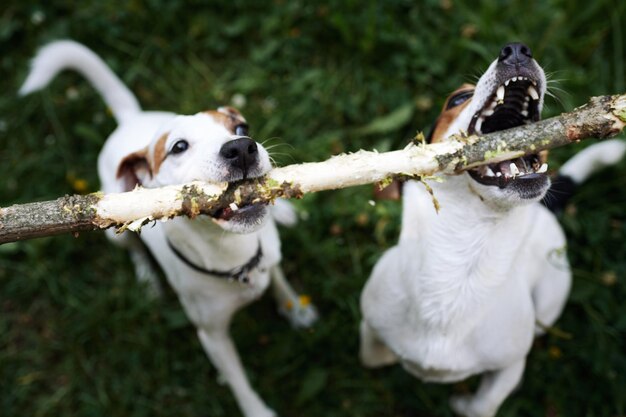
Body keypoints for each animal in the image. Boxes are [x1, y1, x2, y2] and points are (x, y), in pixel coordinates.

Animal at [20, 40, 316, 416]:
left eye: (241, 128)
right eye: (178, 147)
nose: (241, 148)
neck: (234, 255)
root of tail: (130, 120)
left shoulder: (269, 261)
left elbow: (281, 282)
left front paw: (297, 309)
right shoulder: (212, 336)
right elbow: (239, 383)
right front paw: (257, 411)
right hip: (114, 232)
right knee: (133, 251)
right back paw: (147, 281)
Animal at [358, 43, 620, 416]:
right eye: (457, 99)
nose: (517, 50)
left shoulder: (509, 366)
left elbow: (481, 405)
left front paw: (461, 401)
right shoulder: (370, 325)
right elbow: (373, 358)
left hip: (549, 299)